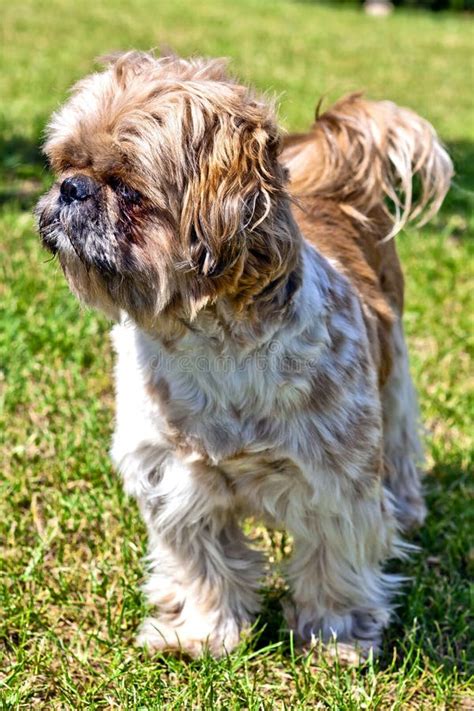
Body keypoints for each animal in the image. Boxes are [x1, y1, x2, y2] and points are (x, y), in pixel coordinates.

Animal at [36, 51, 452, 660]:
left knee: (398, 438)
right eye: (64, 163)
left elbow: (334, 563)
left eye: (129, 191)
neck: (213, 345)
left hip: (393, 368)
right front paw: (201, 633)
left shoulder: (336, 484)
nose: (72, 188)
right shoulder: (176, 480)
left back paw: (407, 507)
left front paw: (336, 637)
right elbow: (203, 566)